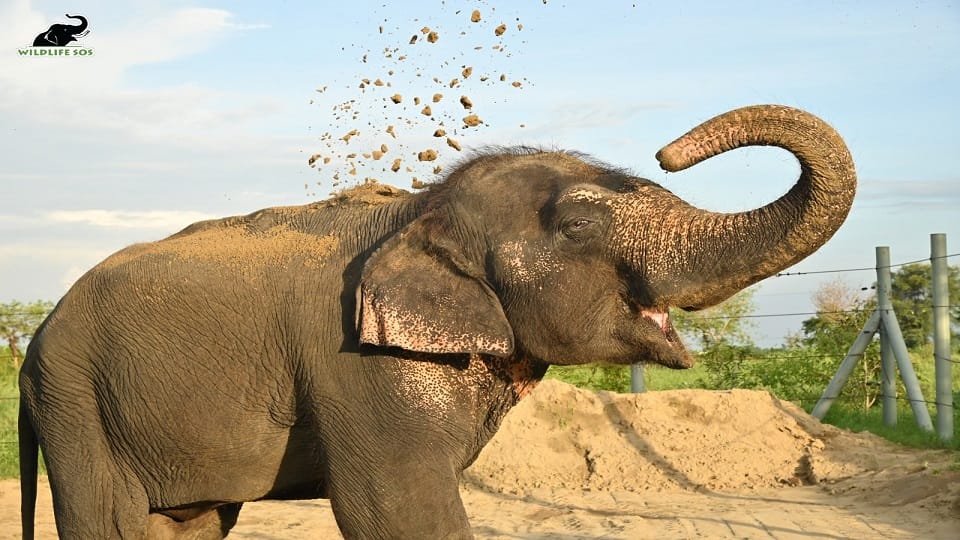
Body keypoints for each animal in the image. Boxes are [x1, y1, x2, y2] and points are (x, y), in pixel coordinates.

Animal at [19, 104, 856, 539]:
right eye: (580, 225)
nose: (669, 148)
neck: (423, 208)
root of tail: (32, 346)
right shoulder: (356, 362)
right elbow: (393, 505)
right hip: (75, 403)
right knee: (112, 523)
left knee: (186, 526)